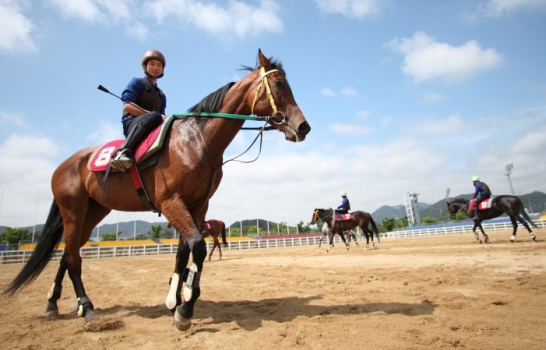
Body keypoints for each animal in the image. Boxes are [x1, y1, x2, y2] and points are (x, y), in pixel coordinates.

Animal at [3, 48, 310, 330]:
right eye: (279, 84)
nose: (303, 127)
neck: (196, 141)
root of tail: (64, 164)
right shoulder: (171, 202)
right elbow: (197, 248)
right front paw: (185, 309)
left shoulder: (198, 206)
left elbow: (183, 254)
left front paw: (176, 301)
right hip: (73, 211)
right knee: (73, 259)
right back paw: (88, 309)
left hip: (93, 213)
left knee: (69, 255)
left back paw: (54, 304)